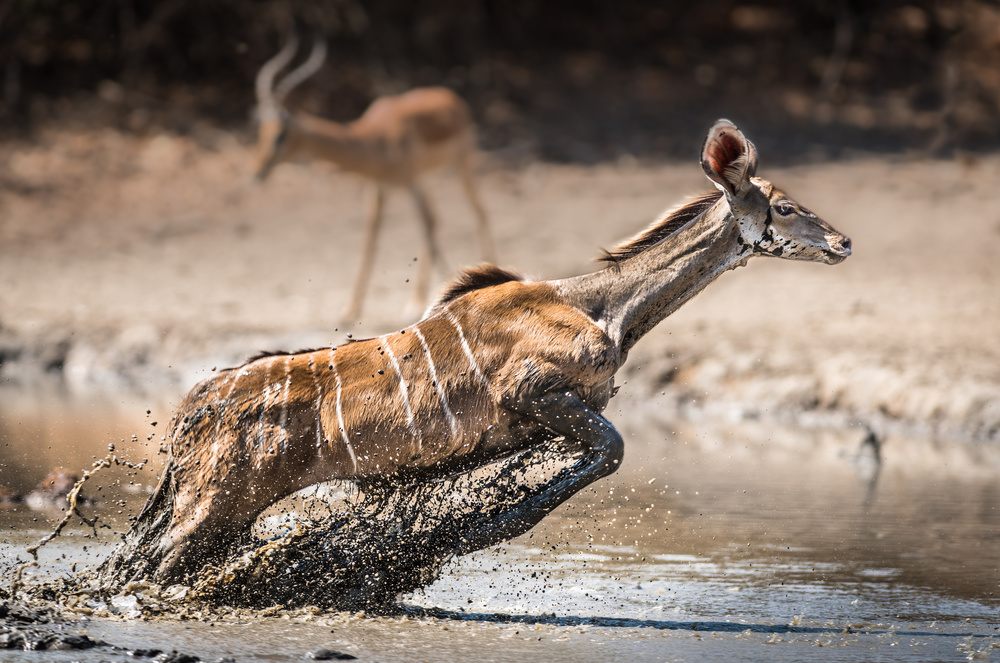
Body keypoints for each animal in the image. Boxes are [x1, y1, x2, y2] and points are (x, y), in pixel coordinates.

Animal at [103, 120, 852, 588]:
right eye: (785, 207)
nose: (845, 241)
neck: (598, 305)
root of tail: (192, 408)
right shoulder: (536, 393)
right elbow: (607, 454)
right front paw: (458, 537)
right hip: (216, 501)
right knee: (148, 566)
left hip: (218, 506)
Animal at [254, 31, 496, 322]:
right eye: (261, 130)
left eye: (280, 135)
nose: (257, 170)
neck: (376, 138)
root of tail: (451, 98)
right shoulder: (379, 187)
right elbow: (370, 238)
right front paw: (350, 310)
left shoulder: (409, 182)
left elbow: (425, 226)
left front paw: (420, 303)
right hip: (431, 178)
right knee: (439, 218)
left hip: (460, 167)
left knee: (475, 211)